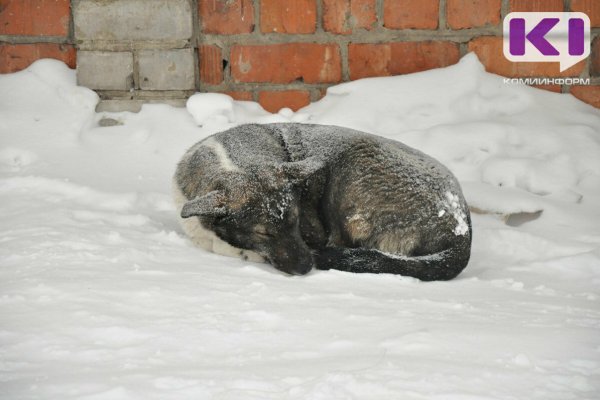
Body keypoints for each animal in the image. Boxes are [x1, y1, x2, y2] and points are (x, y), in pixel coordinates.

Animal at [171, 123, 472, 280]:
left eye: (295, 221)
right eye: (263, 233)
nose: (306, 267)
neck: (230, 159)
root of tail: (463, 230)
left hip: (353, 167)